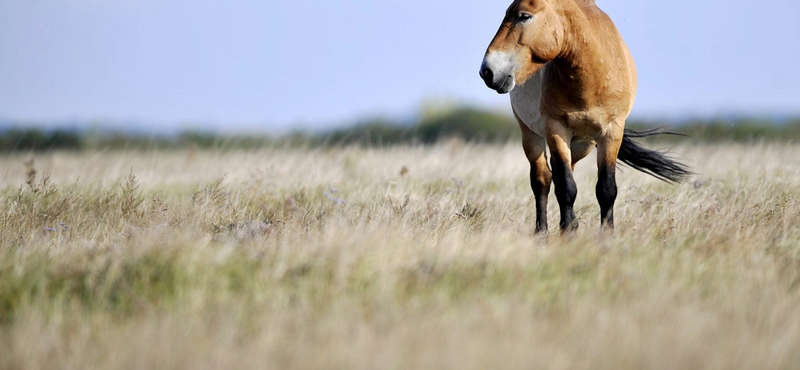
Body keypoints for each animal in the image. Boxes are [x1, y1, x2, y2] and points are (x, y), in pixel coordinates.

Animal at [478, 0, 692, 233]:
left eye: (524, 16)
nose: (487, 71)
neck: (591, 79)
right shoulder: (556, 129)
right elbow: (566, 187)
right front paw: (568, 233)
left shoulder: (612, 132)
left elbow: (606, 189)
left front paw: (605, 234)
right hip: (531, 135)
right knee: (543, 180)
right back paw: (542, 232)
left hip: (582, 145)